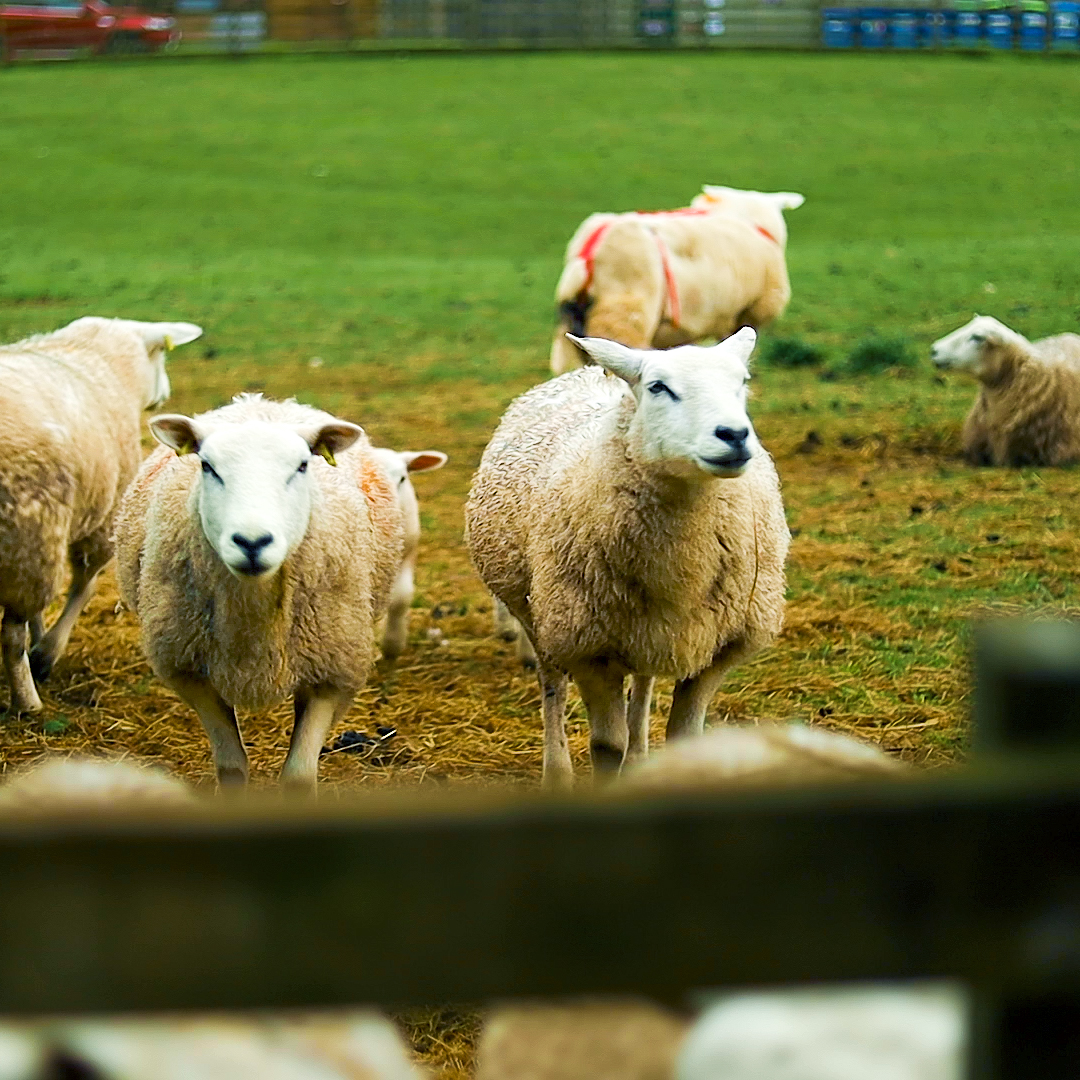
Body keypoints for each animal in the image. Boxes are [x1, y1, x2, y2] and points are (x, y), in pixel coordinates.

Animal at [0, 316, 202, 715]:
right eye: (160, 355)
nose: (165, 393)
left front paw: (41, 640)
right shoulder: (95, 525)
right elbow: (84, 586)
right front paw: (45, 654)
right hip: (24, 533)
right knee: (10, 637)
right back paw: (26, 702)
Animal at [112, 394, 405, 792]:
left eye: (302, 465)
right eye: (207, 466)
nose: (252, 542)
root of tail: (261, 402)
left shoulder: (332, 673)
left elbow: (299, 776)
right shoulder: (192, 674)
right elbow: (232, 768)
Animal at [465, 328, 790, 789]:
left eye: (741, 382)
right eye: (658, 387)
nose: (733, 435)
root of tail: (589, 370)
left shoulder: (720, 646)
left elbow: (684, 737)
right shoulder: (588, 648)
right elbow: (606, 746)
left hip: (645, 628)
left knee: (643, 680)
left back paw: (640, 756)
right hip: (544, 616)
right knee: (552, 687)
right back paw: (557, 772)